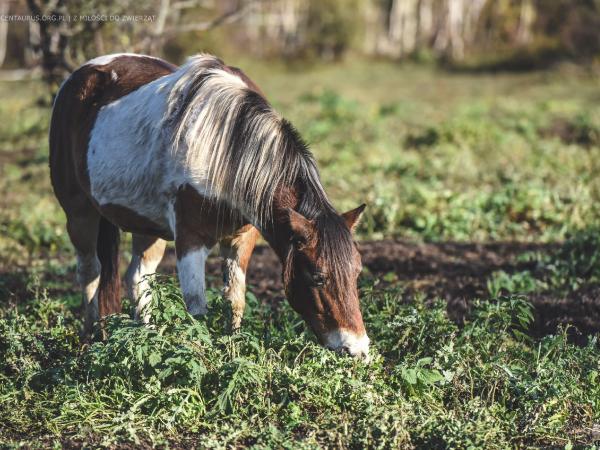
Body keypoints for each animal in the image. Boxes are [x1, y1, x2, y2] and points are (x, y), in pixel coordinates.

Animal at [50, 52, 370, 358]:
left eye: (357, 273)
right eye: (318, 277)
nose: (357, 350)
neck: (228, 152)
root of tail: (78, 77)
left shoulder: (243, 238)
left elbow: (235, 301)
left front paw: (233, 349)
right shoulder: (190, 239)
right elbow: (197, 309)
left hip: (147, 225)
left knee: (137, 278)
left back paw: (147, 338)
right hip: (79, 214)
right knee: (90, 272)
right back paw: (91, 340)